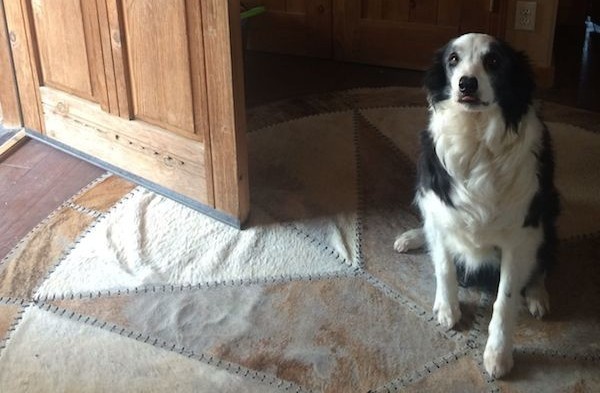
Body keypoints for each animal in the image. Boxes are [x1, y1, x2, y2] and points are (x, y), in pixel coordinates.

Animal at [396, 33, 560, 376]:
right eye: (453, 60)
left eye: (493, 61)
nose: (466, 83)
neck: (476, 138)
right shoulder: (438, 204)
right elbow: (444, 265)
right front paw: (447, 308)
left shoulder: (521, 234)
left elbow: (505, 298)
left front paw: (498, 355)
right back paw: (411, 238)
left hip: (549, 210)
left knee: (544, 261)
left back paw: (537, 294)